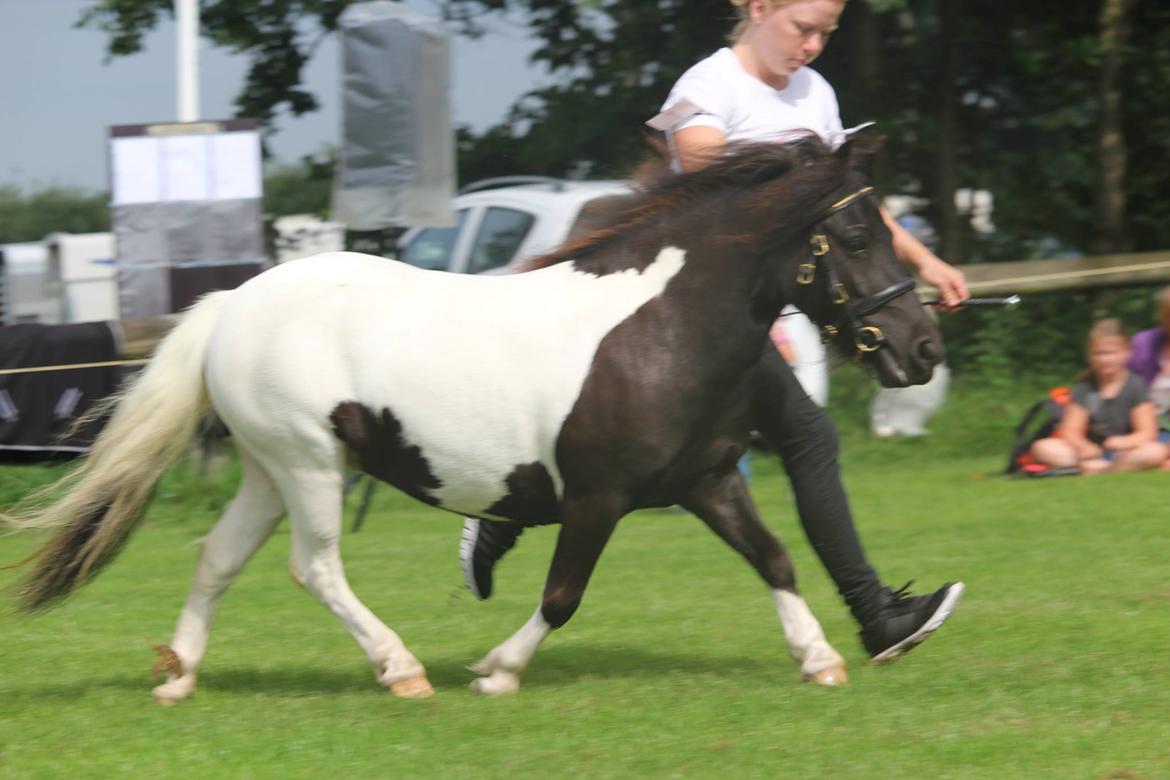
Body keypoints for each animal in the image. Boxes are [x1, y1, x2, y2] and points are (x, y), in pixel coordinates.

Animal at [6, 132, 940, 701]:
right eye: (857, 235)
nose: (922, 346)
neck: (657, 330)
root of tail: (230, 305)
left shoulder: (707, 481)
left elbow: (775, 557)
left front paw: (823, 658)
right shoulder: (597, 498)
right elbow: (563, 595)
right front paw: (494, 671)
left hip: (270, 470)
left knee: (216, 558)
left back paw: (178, 676)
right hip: (309, 463)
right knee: (316, 568)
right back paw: (401, 670)